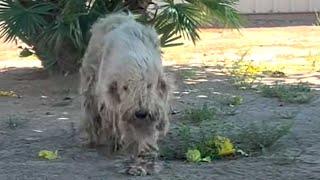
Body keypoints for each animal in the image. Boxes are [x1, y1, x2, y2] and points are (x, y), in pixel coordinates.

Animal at [79, 13, 172, 176]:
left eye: (149, 85)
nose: (140, 113)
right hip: (90, 83)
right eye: (125, 88)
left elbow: (145, 134)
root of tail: (116, 16)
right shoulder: (117, 106)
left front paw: (143, 161)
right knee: (92, 113)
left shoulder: (151, 108)